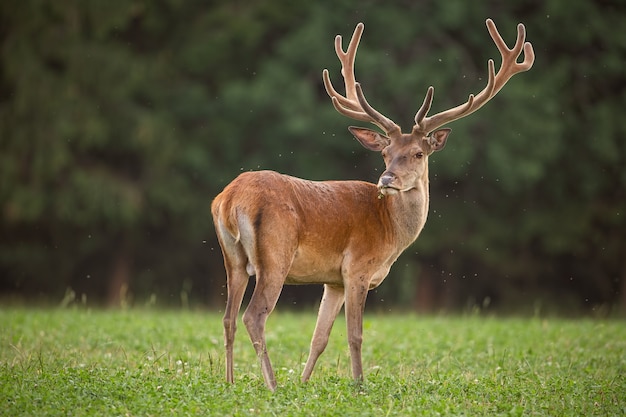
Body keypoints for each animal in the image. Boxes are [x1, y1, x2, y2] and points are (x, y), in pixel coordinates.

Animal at [211, 18, 532, 390]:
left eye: (418, 153)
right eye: (385, 153)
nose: (387, 178)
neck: (390, 231)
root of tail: (229, 199)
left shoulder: (333, 280)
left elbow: (319, 337)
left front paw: (304, 383)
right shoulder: (358, 268)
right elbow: (355, 335)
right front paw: (359, 384)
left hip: (232, 258)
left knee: (228, 317)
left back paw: (230, 382)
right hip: (275, 255)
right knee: (254, 316)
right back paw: (272, 385)